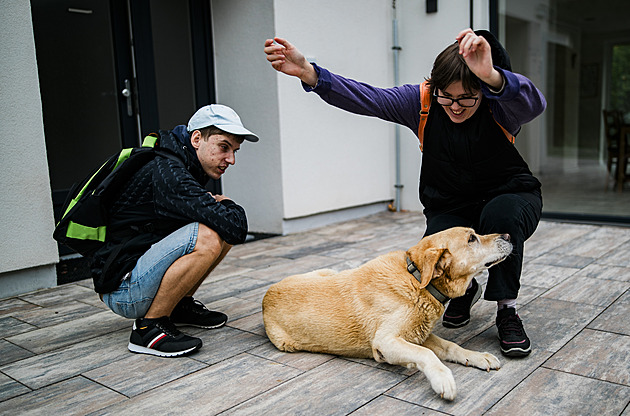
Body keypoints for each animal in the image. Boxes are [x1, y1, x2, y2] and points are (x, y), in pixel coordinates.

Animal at [262, 226, 512, 402]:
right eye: (472, 239)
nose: (509, 235)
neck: (416, 278)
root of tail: (266, 296)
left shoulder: (418, 333)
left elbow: (451, 346)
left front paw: (477, 356)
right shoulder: (386, 341)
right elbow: (426, 354)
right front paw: (443, 378)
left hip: (329, 271)